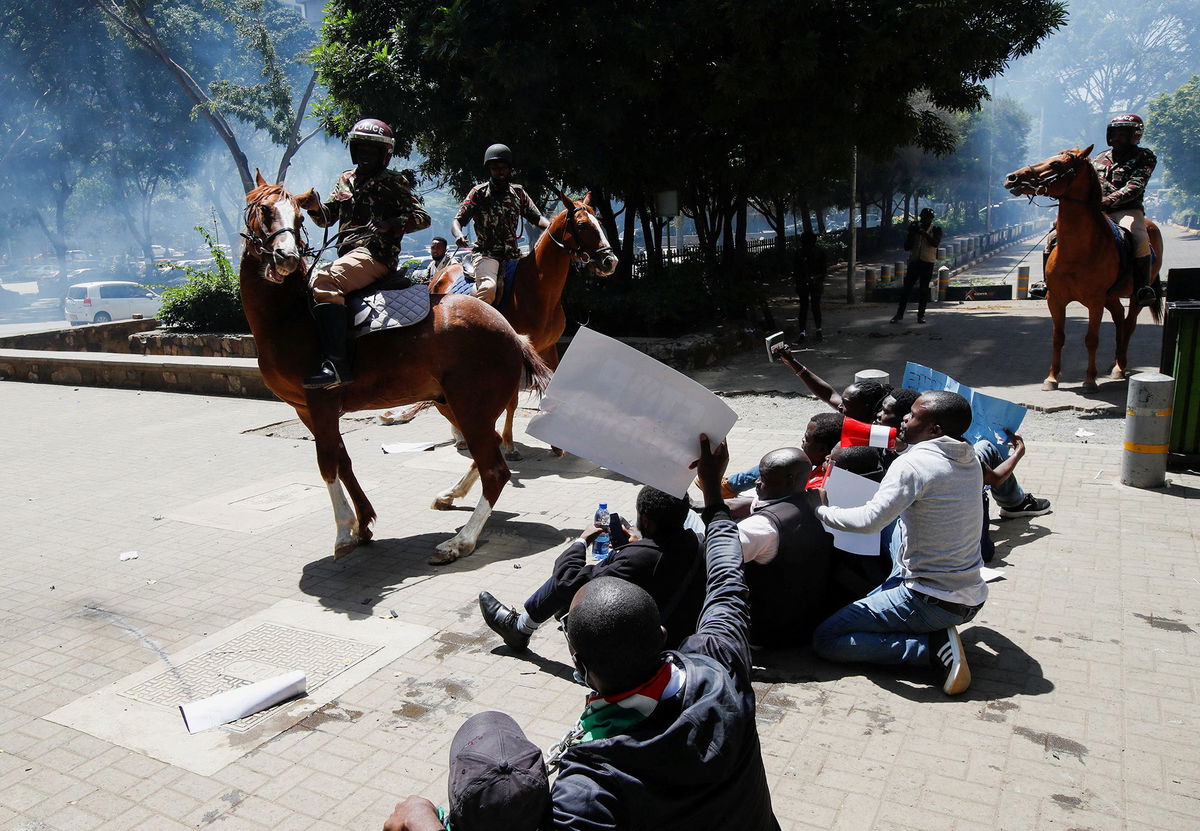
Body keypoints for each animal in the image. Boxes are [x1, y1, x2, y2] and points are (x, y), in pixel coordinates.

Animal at [237, 174, 552, 564]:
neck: (292, 318)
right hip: (453, 404)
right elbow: (342, 460)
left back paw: (460, 541)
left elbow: (327, 463)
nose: (287, 257)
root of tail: (511, 332)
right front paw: (363, 524)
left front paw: (344, 531)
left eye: (297, 218)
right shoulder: (304, 409)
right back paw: (451, 496)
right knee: (488, 452)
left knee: (495, 470)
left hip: (472, 407)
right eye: (265, 211)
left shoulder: (321, 403)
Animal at [432, 190, 619, 458]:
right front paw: (509, 444)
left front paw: (555, 444)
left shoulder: (548, 348)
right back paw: (461, 435)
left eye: (600, 224)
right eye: (583, 225)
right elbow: (512, 401)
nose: (609, 261)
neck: (537, 289)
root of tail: (440, 274)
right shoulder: (517, 353)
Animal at [1003, 147, 1161, 393]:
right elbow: (1058, 337)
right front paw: (1052, 378)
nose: (1012, 178)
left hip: (1134, 296)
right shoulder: (1055, 299)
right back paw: (1115, 362)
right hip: (1111, 296)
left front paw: (1089, 381)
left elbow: (1091, 339)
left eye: (1056, 164)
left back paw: (1120, 366)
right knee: (1119, 317)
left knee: (1129, 323)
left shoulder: (1095, 301)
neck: (1077, 250)